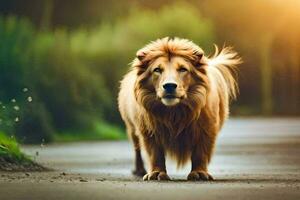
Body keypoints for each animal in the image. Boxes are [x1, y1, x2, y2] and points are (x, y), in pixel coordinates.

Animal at [117, 37, 241, 181]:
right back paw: (139, 170)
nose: (169, 85)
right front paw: (156, 173)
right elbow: (155, 153)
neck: (174, 112)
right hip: (131, 128)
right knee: (137, 149)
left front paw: (200, 173)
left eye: (183, 69)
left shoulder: (206, 128)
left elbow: (200, 152)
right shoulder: (148, 130)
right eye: (157, 70)